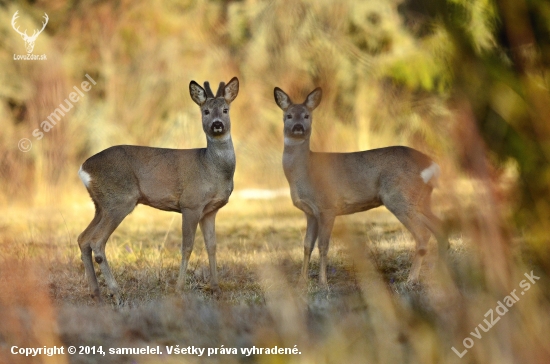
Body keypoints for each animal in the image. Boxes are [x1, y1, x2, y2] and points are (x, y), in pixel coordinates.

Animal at [77, 78, 239, 302]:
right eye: (205, 111)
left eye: (225, 109)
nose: (217, 124)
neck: (211, 167)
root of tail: (83, 168)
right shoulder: (191, 203)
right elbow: (187, 247)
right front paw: (179, 289)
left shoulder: (210, 210)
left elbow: (212, 246)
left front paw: (216, 289)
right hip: (119, 201)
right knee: (96, 241)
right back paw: (116, 292)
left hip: (101, 205)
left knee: (83, 238)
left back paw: (96, 293)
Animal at [274, 86, 448, 286]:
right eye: (288, 115)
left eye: (306, 115)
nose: (298, 127)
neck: (306, 170)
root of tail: (432, 165)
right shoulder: (310, 212)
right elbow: (306, 244)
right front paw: (302, 280)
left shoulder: (328, 206)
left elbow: (323, 245)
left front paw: (323, 282)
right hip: (421, 199)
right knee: (440, 227)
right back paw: (442, 274)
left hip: (399, 197)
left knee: (423, 234)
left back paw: (411, 279)